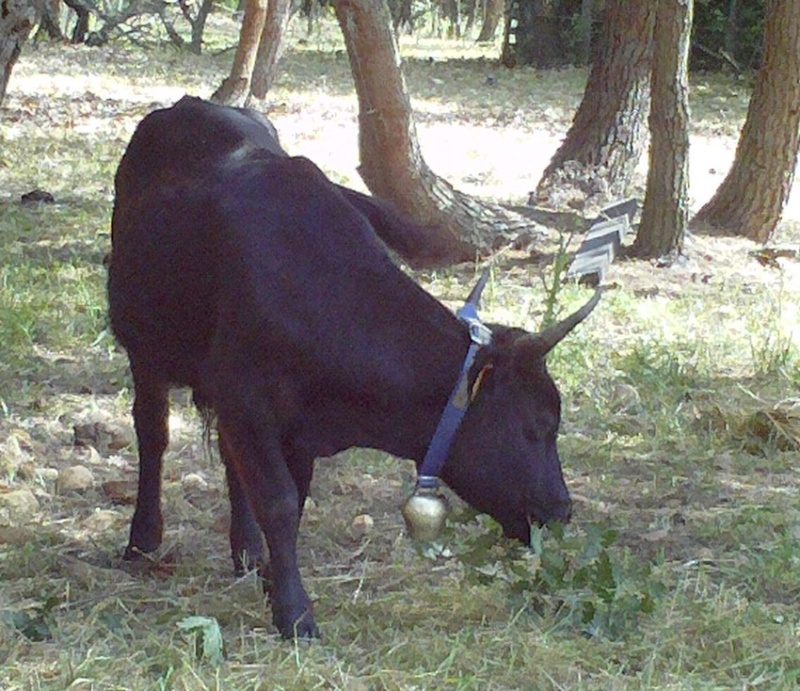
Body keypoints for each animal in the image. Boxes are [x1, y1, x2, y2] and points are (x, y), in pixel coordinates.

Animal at [109, 94, 604, 640]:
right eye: (537, 425)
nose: (562, 509)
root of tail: (192, 104)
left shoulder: (289, 423)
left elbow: (290, 498)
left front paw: (272, 581)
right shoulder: (247, 399)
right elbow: (278, 502)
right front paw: (295, 613)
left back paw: (246, 552)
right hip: (144, 347)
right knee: (152, 435)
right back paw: (143, 539)